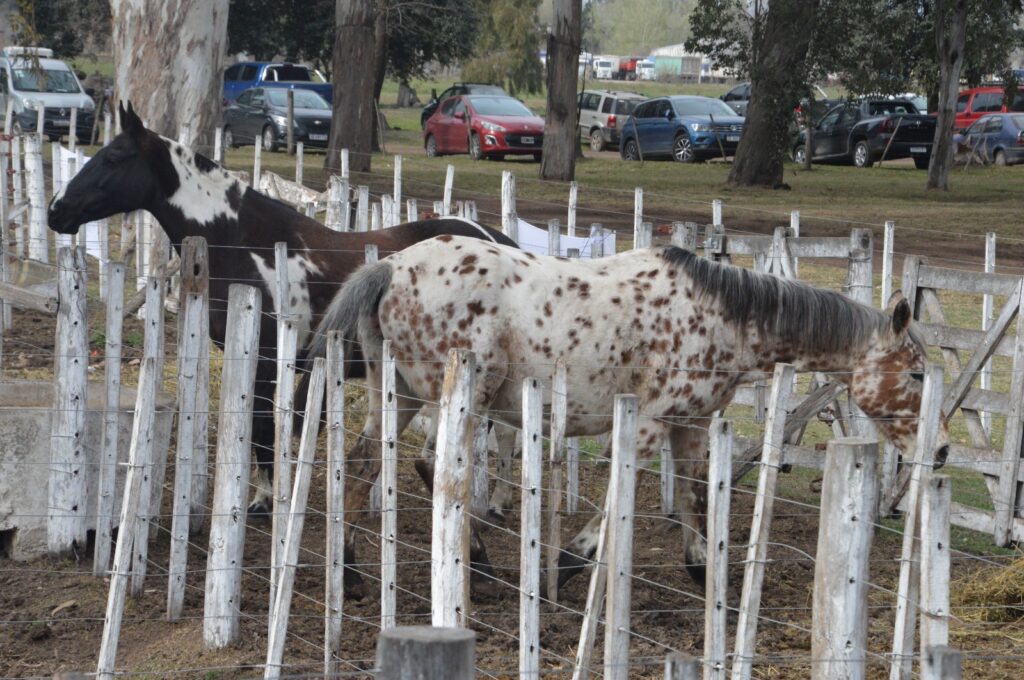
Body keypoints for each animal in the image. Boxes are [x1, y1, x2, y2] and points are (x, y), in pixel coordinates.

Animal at [47, 101, 521, 518]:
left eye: (113, 157)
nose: (56, 210)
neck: (244, 242)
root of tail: (497, 240)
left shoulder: (266, 358)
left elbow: (262, 429)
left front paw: (265, 499)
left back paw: (494, 502)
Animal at [306, 234, 950, 594]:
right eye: (918, 373)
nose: (941, 449)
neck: (722, 318)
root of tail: (392, 267)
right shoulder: (649, 423)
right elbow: (624, 490)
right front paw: (567, 565)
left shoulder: (692, 427)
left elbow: (696, 500)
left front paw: (709, 578)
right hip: (463, 396)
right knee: (433, 464)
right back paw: (482, 573)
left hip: (400, 396)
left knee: (363, 463)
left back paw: (353, 575)